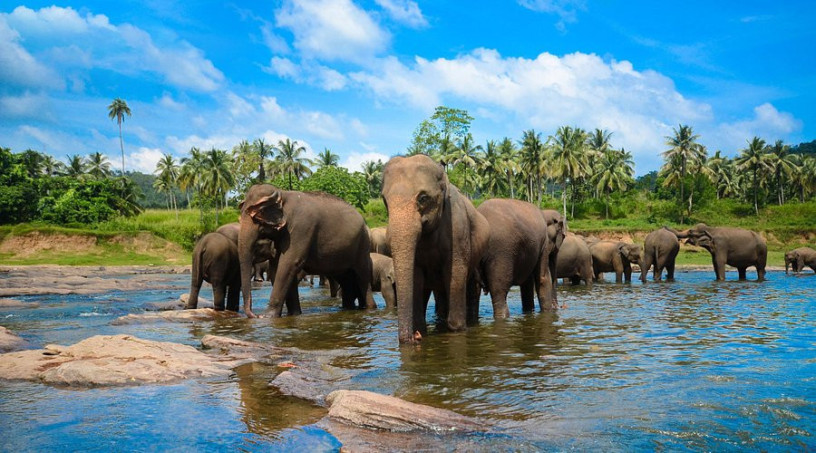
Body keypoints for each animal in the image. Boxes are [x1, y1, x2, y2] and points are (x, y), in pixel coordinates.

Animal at [237, 184, 374, 318]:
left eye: (258, 214)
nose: (255, 315)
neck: (282, 193)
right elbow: (278, 267)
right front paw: (294, 314)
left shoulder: (301, 227)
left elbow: (289, 263)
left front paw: (267, 317)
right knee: (346, 280)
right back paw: (348, 308)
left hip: (363, 245)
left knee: (362, 277)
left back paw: (370, 308)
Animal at [380, 154, 488, 340]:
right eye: (385, 201)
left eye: (423, 198)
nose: (414, 337)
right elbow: (416, 278)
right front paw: (420, 329)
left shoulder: (458, 229)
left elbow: (455, 273)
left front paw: (457, 329)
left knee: (471, 285)